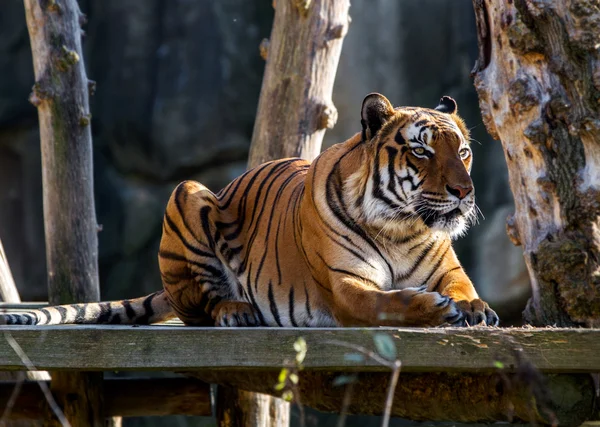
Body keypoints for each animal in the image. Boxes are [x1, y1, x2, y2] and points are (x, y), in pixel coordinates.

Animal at [2, 93, 496, 328]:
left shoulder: (447, 270)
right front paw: (435, 309)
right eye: (421, 151)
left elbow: (462, 287)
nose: (465, 191)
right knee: (199, 307)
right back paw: (235, 310)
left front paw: (475, 308)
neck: (400, 228)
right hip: (188, 193)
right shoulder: (345, 286)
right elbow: (384, 303)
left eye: (463, 152)